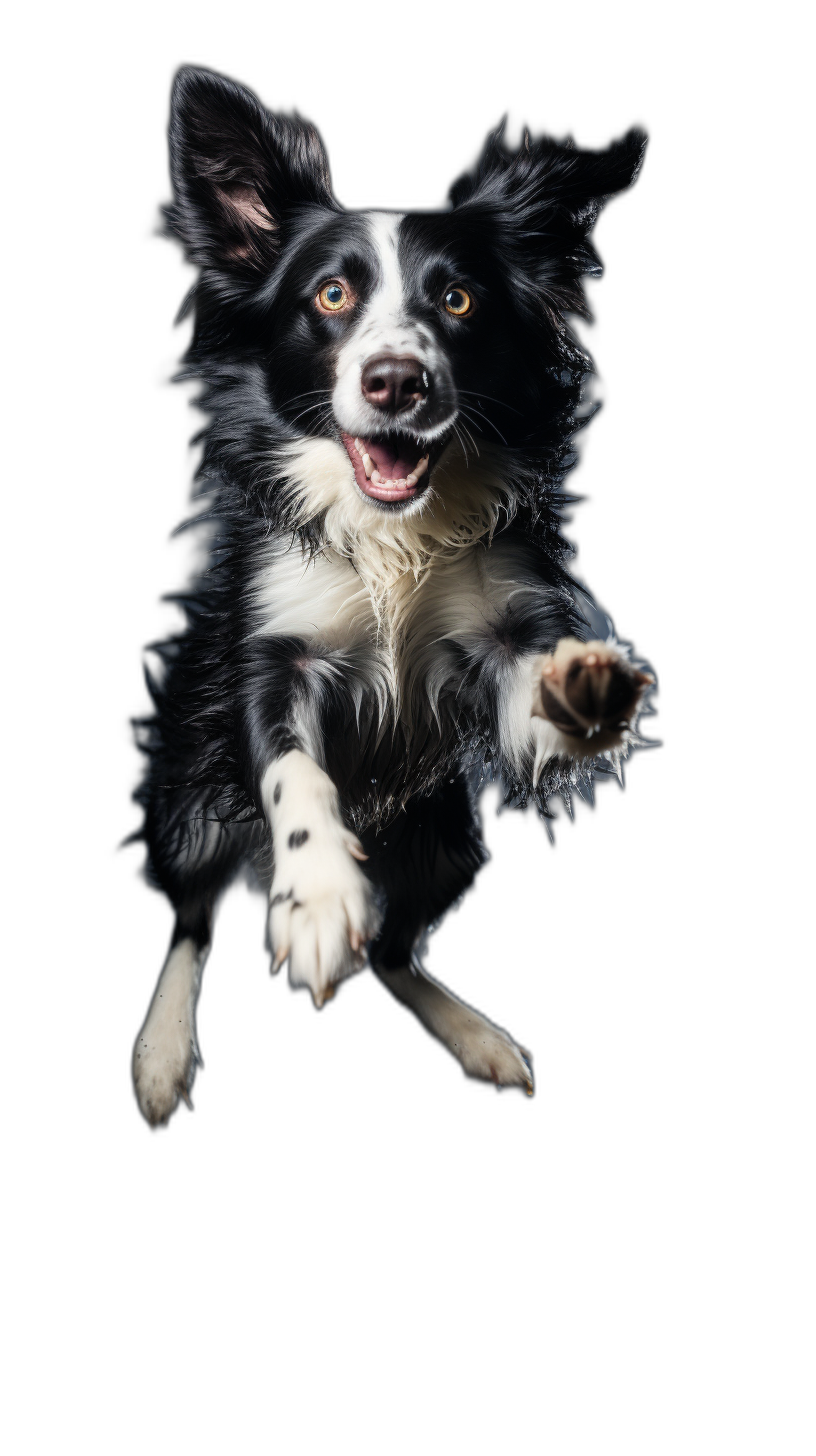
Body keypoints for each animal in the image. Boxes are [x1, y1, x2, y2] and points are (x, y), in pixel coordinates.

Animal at [134, 70, 655, 1124]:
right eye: (331, 294)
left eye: (457, 298)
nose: (398, 383)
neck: (392, 539)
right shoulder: (270, 658)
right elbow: (298, 774)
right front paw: (318, 894)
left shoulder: (494, 645)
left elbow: (539, 700)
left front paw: (583, 683)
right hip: (190, 807)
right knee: (190, 917)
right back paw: (161, 1054)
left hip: (450, 843)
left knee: (395, 954)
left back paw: (472, 1034)